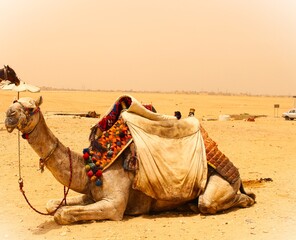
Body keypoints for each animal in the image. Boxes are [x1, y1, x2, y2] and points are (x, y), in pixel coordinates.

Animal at [4, 95, 256, 225]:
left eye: (31, 108)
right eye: (14, 103)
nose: (8, 115)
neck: (93, 163)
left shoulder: (114, 205)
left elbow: (62, 214)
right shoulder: (91, 194)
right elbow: (52, 205)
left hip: (221, 184)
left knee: (211, 202)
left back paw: (244, 200)